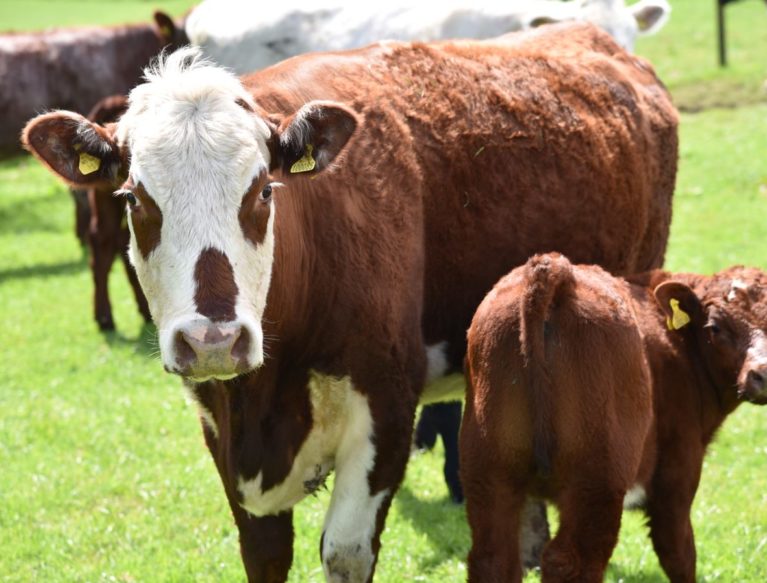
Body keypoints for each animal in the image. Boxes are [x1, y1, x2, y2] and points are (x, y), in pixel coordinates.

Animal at [462, 254, 767, 583]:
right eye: (715, 327)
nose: (761, 374)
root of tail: (552, 267)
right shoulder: (675, 477)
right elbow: (680, 555)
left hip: (489, 475)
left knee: (493, 558)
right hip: (598, 482)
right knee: (570, 560)